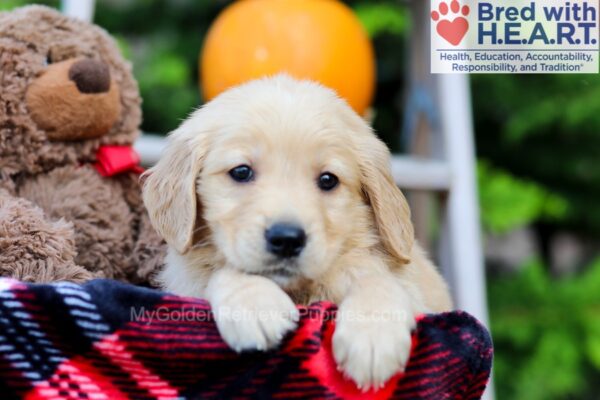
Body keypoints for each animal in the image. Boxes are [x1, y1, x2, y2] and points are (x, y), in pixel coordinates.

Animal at [143, 73, 452, 390]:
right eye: (241, 172)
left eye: (328, 180)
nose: (287, 240)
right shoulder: (187, 285)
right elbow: (220, 271)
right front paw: (255, 302)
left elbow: (376, 278)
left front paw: (373, 336)